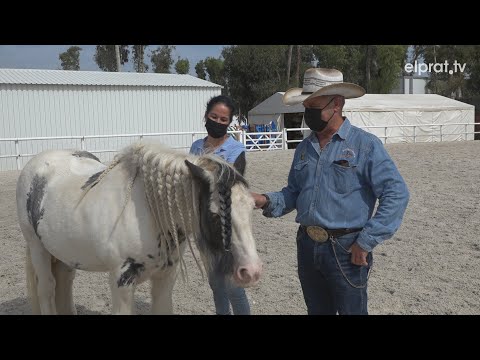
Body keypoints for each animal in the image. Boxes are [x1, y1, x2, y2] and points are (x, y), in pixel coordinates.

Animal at [15, 142, 262, 314]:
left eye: (252, 206)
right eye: (214, 214)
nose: (250, 271)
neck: (148, 213)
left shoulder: (165, 279)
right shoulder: (121, 282)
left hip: (65, 256)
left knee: (65, 288)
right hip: (37, 249)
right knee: (47, 289)